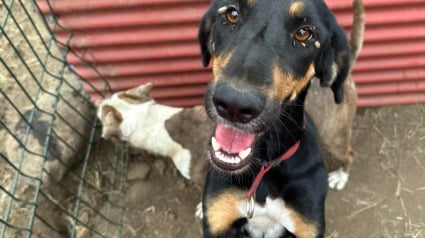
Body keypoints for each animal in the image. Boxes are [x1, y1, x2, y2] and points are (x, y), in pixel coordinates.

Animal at [199, 0, 354, 236]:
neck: (264, 165)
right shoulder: (218, 220)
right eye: (232, 14)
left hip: (334, 136)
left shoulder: (307, 225)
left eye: (304, 33)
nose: (234, 105)